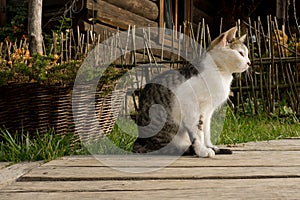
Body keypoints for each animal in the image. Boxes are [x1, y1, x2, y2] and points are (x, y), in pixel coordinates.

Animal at [134, 27, 251, 158]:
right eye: (241, 53)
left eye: (247, 54)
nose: (249, 63)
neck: (221, 74)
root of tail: (139, 141)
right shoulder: (190, 106)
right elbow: (197, 133)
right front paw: (203, 150)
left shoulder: (208, 111)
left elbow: (206, 131)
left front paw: (209, 146)